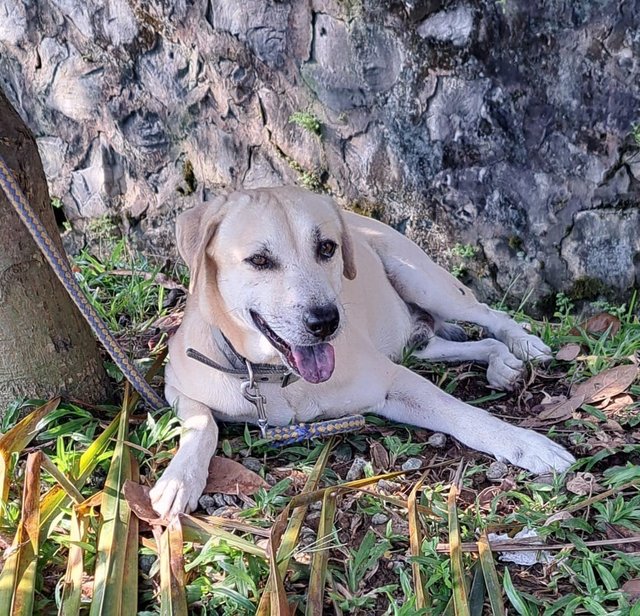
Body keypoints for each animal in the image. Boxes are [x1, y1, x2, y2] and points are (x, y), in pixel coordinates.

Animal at [150, 185, 576, 516]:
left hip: (424, 282)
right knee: (460, 342)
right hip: (417, 342)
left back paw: (522, 343)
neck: (276, 375)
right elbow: (202, 424)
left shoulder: (392, 382)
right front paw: (179, 480)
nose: (325, 321)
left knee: (488, 313)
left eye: (327, 248)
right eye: (258, 259)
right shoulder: (176, 386)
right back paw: (500, 362)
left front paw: (528, 445)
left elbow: (468, 416)